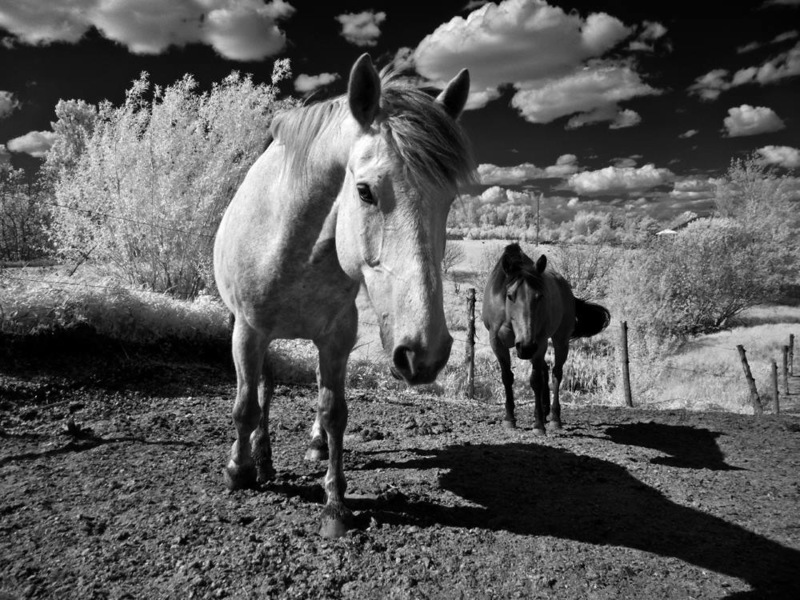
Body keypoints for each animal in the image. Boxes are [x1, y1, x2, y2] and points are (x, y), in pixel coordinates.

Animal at [482, 244, 612, 436]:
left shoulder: (539, 341)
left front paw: (538, 425)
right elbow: (507, 377)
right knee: (544, 370)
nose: (526, 347)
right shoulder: (497, 343)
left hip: (559, 340)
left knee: (556, 373)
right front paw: (509, 419)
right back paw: (544, 412)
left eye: (540, 296)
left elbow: (536, 380)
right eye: (510, 295)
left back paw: (554, 419)